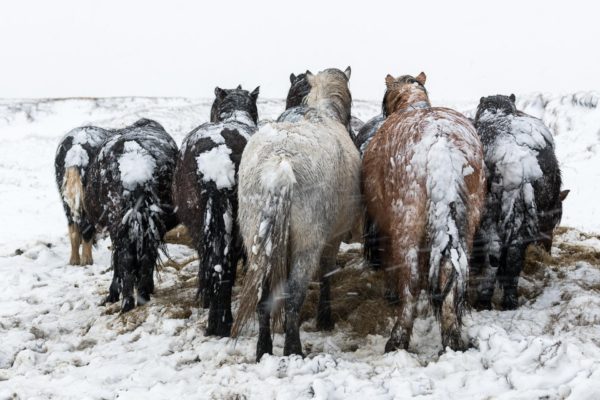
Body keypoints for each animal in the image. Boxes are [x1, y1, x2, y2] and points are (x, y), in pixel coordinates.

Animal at [55, 125, 118, 266]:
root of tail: (76, 152)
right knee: (86, 227)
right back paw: (87, 261)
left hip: (66, 200)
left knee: (73, 229)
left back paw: (74, 261)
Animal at [84, 119, 178, 312]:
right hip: (148, 223)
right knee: (146, 255)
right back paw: (142, 296)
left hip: (120, 224)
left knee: (126, 258)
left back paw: (127, 302)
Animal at [360, 72, 488, 354]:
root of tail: (440, 143)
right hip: (467, 224)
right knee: (452, 271)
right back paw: (453, 337)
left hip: (405, 222)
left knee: (410, 279)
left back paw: (398, 338)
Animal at [472, 95, 568, 310]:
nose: (546, 251)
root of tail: (516, 159)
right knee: (514, 256)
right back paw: (509, 301)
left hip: (490, 216)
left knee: (494, 254)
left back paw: (483, 301)